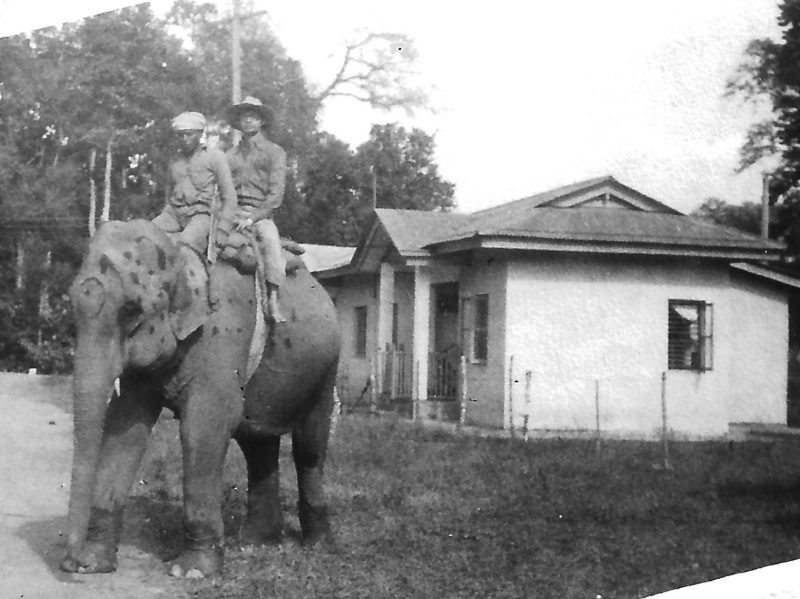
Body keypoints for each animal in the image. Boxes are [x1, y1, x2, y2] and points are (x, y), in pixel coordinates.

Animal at [59, 219, 340, 578]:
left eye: (131, 312)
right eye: (72, 304)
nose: (69, 562)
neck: (181, 253)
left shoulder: (221, 336)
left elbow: (204, 427)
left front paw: (191, 571)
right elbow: (124, 426)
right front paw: (93, 564)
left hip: (326, 368)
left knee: (309, 447)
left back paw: (317, 545)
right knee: (258, 445)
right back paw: (257, 543)